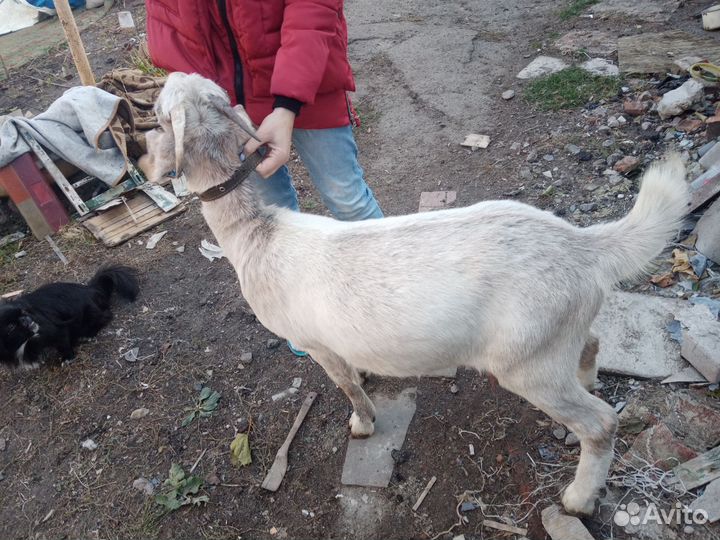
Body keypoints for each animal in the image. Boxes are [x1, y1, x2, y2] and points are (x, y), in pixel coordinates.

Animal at [141, 72, 689, 516]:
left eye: (155, 113)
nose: (144, 155)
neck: (256, 234)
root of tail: (584, 246)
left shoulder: (314, 341)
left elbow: (347, 386)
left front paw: (363, 424)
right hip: (559, 335)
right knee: (592, 343)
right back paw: (590, 381)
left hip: (527, 361)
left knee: (600, 424)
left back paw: (578, 499)